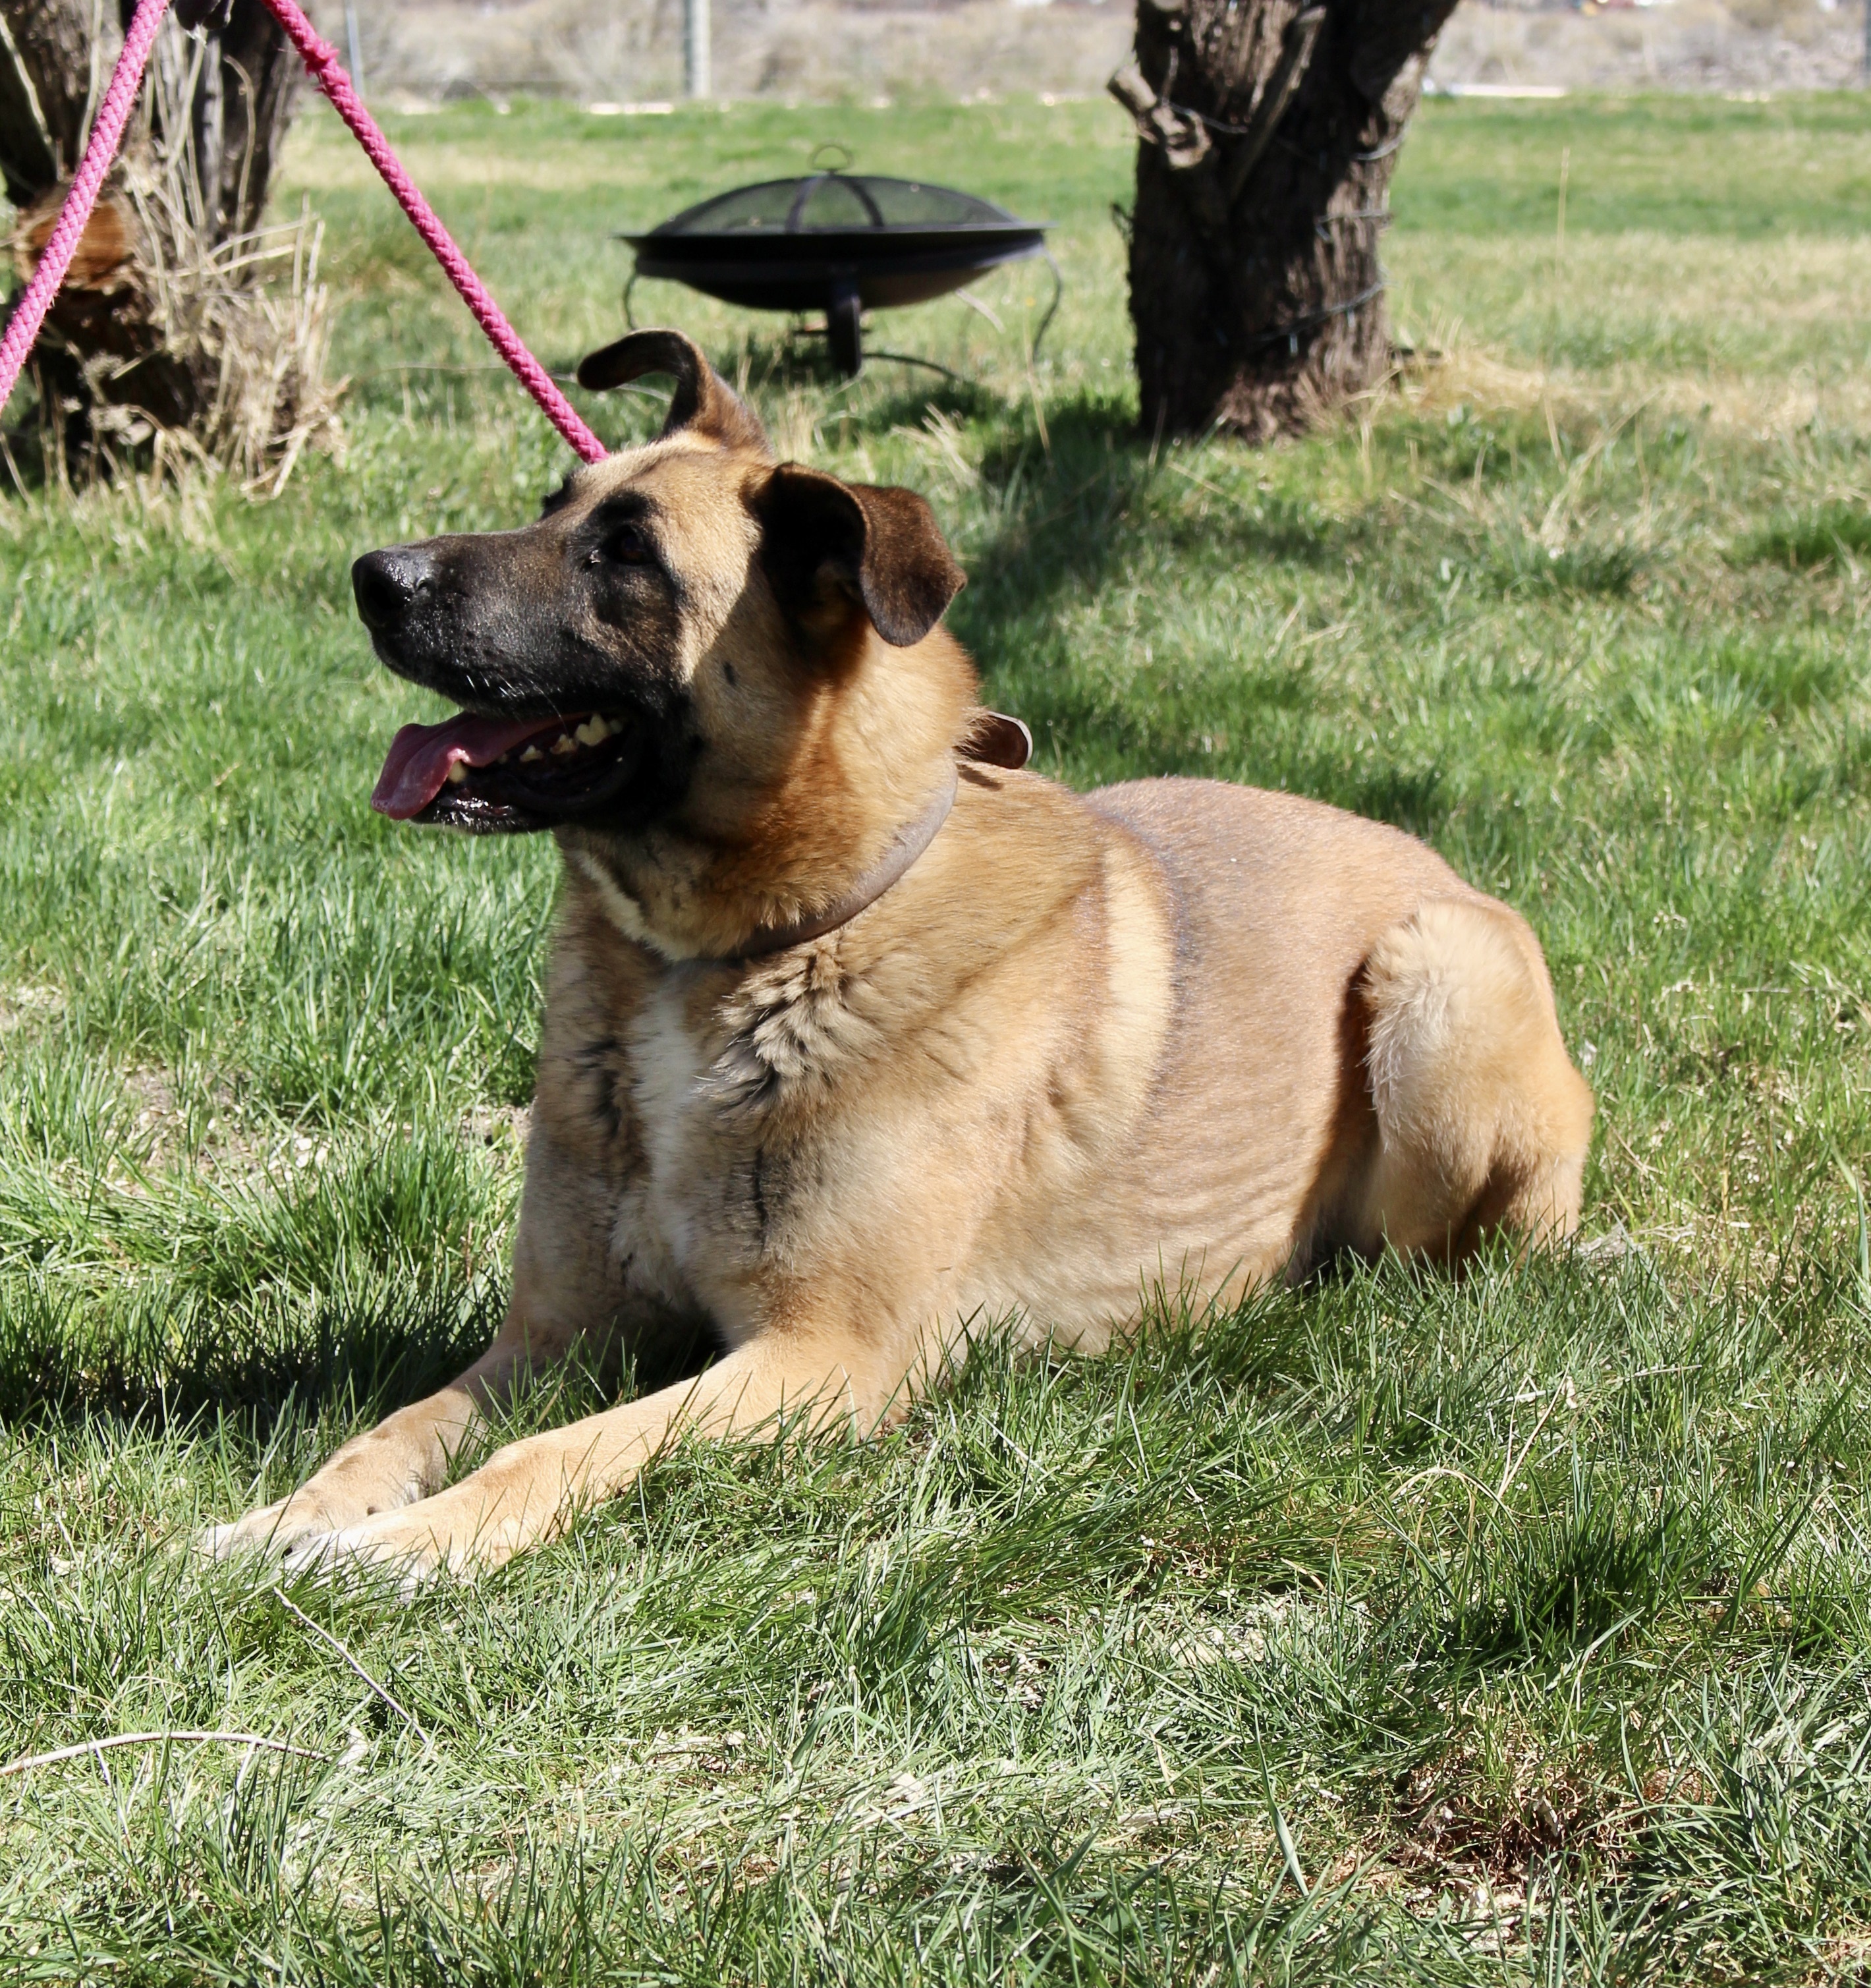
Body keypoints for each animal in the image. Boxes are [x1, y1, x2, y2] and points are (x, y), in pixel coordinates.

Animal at [204, 329, 1582, 1582]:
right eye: (554, 506)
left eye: (626, 553)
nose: (372, 576)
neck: (740, 954)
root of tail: (1436, 864)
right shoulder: (557, 1334)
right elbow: (395, 1428)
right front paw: (282, 1524)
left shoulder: (823, 1358)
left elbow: (562, 1449)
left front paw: (416, 1545)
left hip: (1434, 981)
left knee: (1436, 1264)